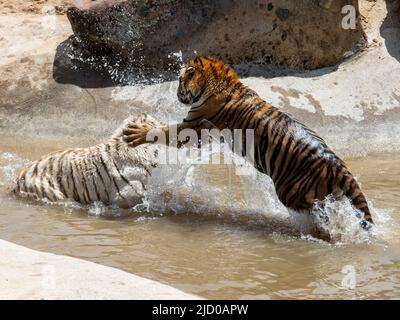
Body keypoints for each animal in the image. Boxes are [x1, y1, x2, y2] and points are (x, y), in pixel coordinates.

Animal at [123, 56, 374, 229]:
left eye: (179, 81)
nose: (176, 94)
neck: (218, 81)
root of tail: (338, 165)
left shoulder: (191, 127)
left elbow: (163, 131)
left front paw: (134, 133)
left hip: (293, 194)